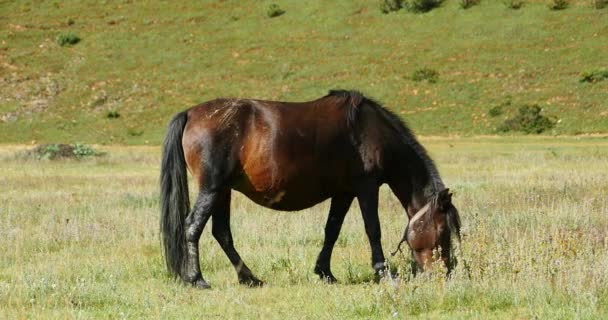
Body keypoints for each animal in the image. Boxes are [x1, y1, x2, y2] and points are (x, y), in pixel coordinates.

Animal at [160, 89, 460, 288]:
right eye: (443, 231)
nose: (446, 272)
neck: (371, 132)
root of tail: (191, 113)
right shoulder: (366, 187)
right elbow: (372, 229)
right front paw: (382, 271)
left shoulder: (344, 193)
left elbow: (332, 230)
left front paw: (325, 272)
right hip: (212, 188)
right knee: (193, 227)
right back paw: (197, 278)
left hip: (223, 191)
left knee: (221, 233)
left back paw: (249, 277)